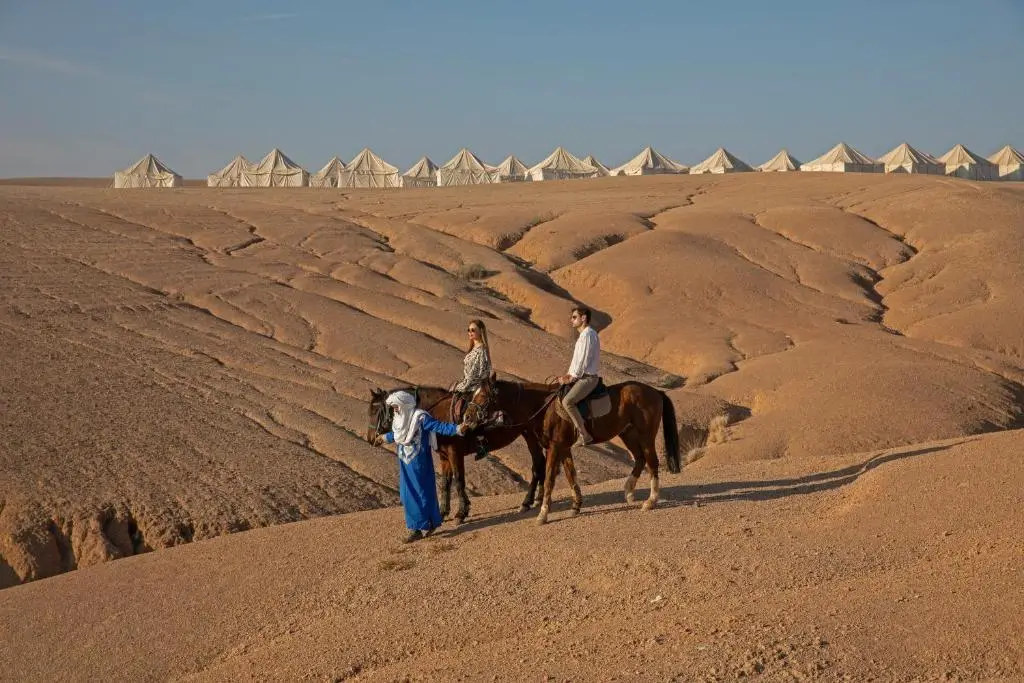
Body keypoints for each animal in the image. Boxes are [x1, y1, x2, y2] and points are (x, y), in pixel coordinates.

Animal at [364, 385, 548, 524]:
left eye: (377, 411)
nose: (371, 438)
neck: (439, 413)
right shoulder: (444, 456)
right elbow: (446, 482)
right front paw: (443, 512)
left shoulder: (455, 454)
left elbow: (459, 481)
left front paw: (461, 513)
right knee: (541, 464)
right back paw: (538, 499)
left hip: (531, 436)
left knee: (537, 466)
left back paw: (527, 502)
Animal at [468, 376, 679, 528]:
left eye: (482, 396)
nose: (468, 417)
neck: (543, 408)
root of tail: (656, 392)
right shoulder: (564, 448)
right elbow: (571, 475)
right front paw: (576, 506)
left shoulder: (554, 447)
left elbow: (550, 479)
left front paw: (543, 514)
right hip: (628, 434)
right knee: (640, 459)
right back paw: (628, 492)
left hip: (645, 436)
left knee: (652, 462)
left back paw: (650, 501)